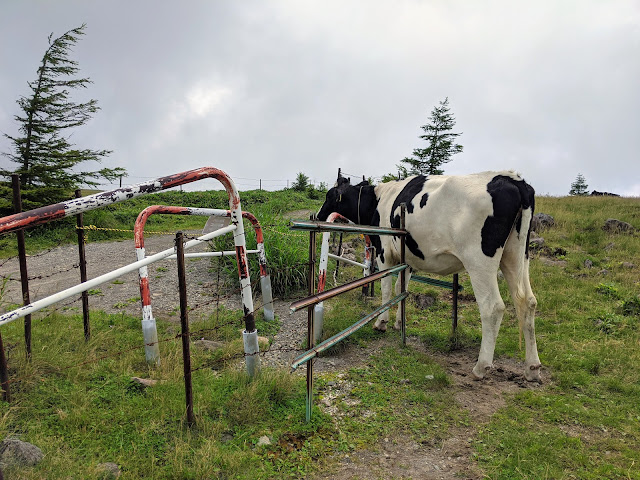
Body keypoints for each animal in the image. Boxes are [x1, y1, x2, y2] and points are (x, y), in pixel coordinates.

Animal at [318, 171, 544, 380]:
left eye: (329, 195)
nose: (318, 216)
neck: (377, 200)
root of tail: (512, 179)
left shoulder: (384, 252)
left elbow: (387, 289)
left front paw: (381, 323)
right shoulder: (407, 259)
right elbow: (402, 288)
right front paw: (399, 323)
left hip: (479, 260)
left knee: (492, 307)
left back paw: (481, 367)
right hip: (516, 255)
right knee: (528, 302)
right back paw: (532, 368)